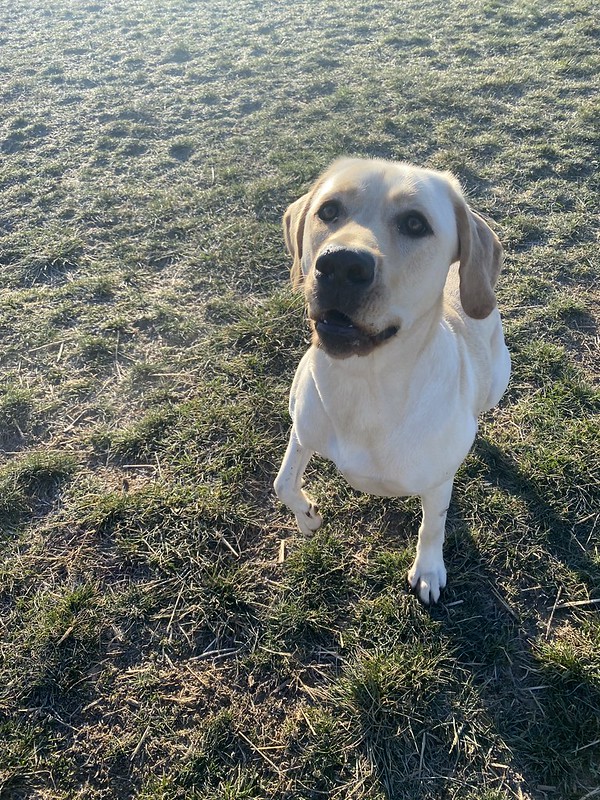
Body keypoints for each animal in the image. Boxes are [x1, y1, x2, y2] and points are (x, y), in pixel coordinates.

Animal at [274, 159, 508, 604]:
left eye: (416, 223)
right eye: (328, 210)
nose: (340, 265)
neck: (364, 384)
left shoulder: (437, 484)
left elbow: (433, 526)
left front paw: (429, 570)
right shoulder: (303, 429)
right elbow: (283, 483)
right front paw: (307, 517)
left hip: (498, 379)